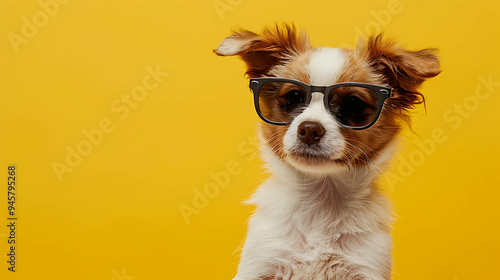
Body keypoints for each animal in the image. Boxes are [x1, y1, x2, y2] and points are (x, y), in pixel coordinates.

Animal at [213, 23, 440, 278]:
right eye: (293, 96)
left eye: (354, 103)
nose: (309, 130)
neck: (321, 201)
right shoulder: (261, 260)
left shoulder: (367, 263)